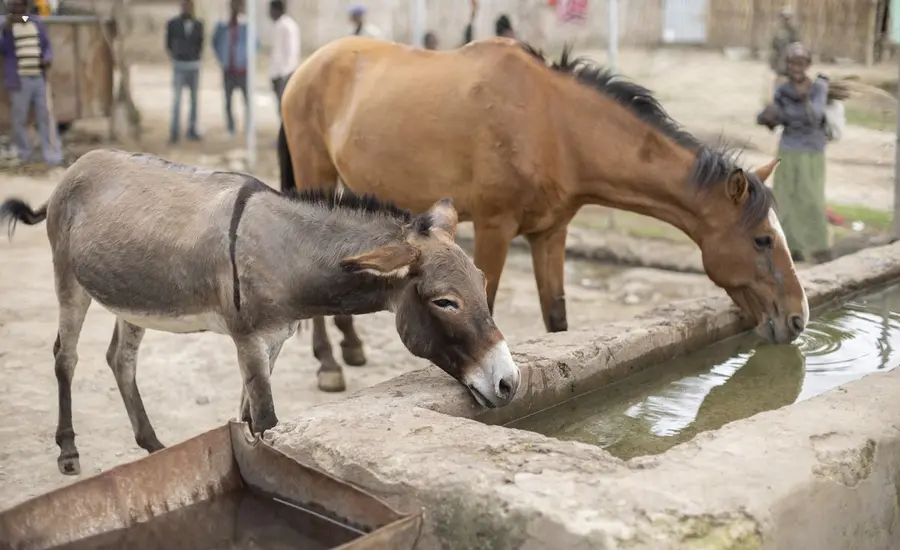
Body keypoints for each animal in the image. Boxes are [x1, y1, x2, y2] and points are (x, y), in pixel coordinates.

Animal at [0, 148, 520, 476]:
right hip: (69, 280)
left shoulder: (274, 341)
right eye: (444, 302)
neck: (287, 252)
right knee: (66, 358)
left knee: (120, 360)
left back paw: (151, 445)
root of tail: (78, 164)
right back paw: (68, 450)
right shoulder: (248, 340)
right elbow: (267, 420)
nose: (510, 383)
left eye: (482, 284)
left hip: (134, 299)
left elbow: (249, 417)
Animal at [278, 36, 808, 393]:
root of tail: (306, 68)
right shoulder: (494, 227)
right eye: (763, 239)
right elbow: (484, 301)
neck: (556, 127)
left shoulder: (550, 234)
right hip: (315, 174)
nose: (798, 318)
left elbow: (558, 320)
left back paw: (351, 346)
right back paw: (328, 364)